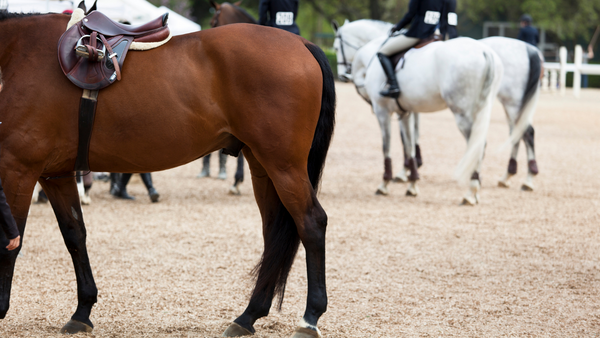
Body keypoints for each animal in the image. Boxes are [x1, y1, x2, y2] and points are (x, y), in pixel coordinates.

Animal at [0, 9, 336, 336]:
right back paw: (248, 316)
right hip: (263, 166)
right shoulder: (54, 174)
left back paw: (309, 318)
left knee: (311, 223)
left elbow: (11, 240)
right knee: (273, 232)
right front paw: (82, 311)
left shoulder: (18, 169)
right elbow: (74, 235)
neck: (20, 54)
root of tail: (302, 44)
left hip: (284, 165)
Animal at [332, 19, 544, 197]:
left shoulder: (383, 111)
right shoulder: (406, 111)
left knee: (492, 141)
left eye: (336, 47)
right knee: (516, 133)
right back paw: (508, 177)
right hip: (504, 105)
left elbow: (391, 145)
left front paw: (389, 181)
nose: (342, 75)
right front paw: (411, 178)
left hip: (478, 109)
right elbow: (409, 142)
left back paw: (479, 188)